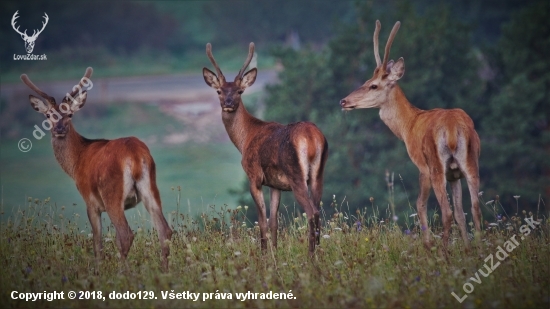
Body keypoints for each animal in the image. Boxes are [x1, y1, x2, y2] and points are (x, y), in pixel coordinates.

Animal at [21, 68, 172, 270]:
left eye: (70, 115)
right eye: (48, 115)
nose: (59, 129)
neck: (76, 162)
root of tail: (135, 155)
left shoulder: (90, 201)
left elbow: (97, 243)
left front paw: (98, 270)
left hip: (111, 193)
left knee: (125, 234)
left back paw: (122, 273)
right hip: (151, 187)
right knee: (165, 230)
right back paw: (164, 270)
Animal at [204, 43, 330, 255]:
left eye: (240, 91)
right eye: (219, 91)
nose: (228, 103)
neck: (245, 139)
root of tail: (313, 138)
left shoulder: (254, 176)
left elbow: (262, 222)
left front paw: (263, 255)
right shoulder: (275, 185)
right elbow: (273, 222)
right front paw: (274, 254)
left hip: (296, 173)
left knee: (311, 212)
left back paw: (311, 255)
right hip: (318, 175)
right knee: (318, 210)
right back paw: (319, 252)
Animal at [340, 20, 484, 251]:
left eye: (373, 85)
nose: (343, 101)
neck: (408, 126)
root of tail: (453, 130)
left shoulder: (421, 165)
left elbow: (420, 204)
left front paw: (427, 245)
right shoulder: (454, 175)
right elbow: (461, 213)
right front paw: (467, 248)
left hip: (435, 165)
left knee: (446, 212)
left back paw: (443, 252)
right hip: (471, 162)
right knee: (475, 208)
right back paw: (478, 248)